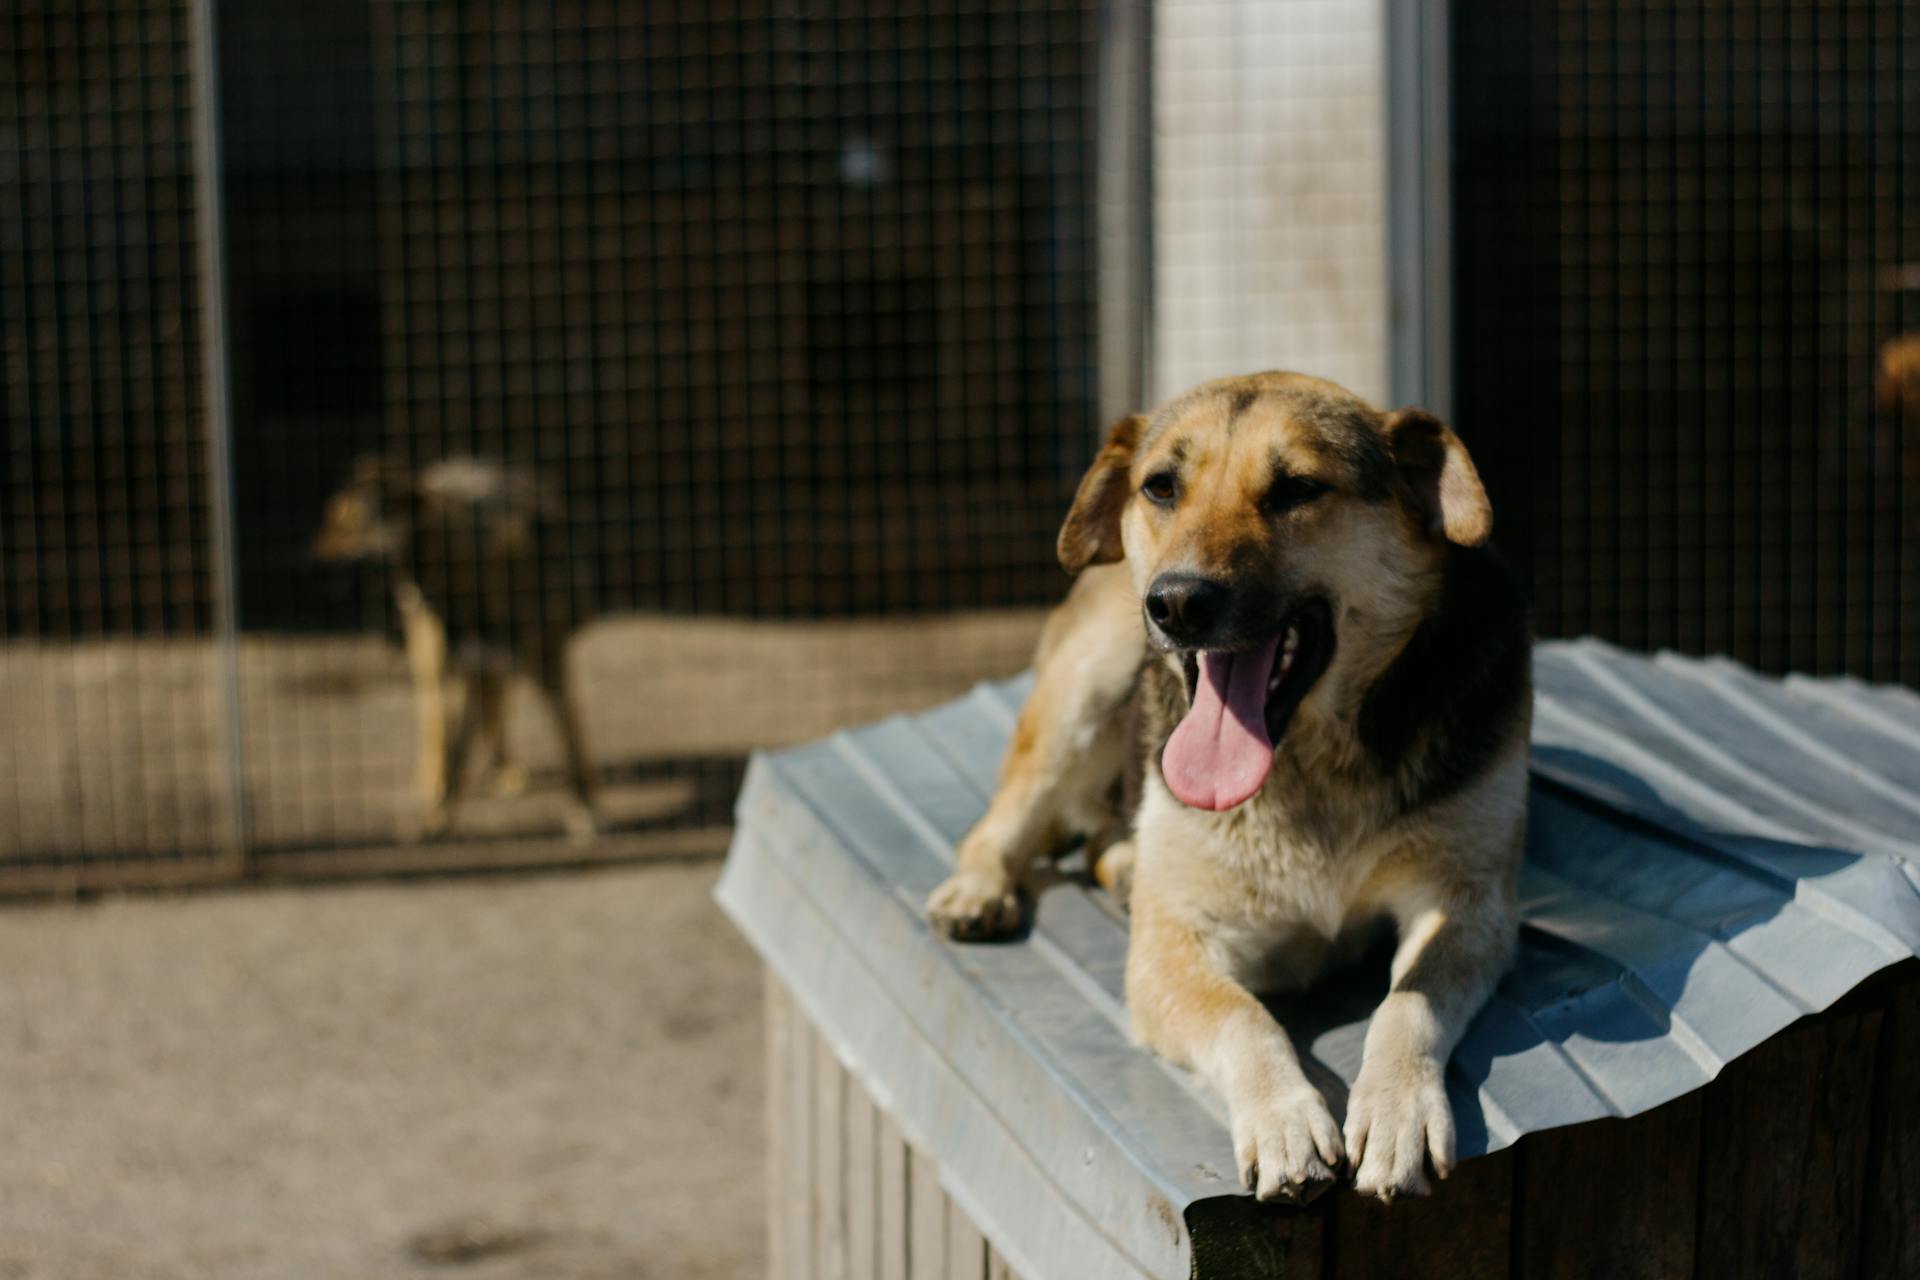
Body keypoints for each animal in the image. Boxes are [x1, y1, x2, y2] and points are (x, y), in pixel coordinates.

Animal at [311, 458, 595, 840]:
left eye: (354, 524)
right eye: (331, 520)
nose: (311, 563)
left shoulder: (549, 669)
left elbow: (571, 739)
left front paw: (584, 808)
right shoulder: (466, 667)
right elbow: (455, 751)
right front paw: (438, 817)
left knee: (494, 707)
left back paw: (503, 768)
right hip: (434, 661)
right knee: (435, 722)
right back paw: (432, 778)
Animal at [925, 370, 1528, 1205]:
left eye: (1298, 488)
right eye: (1161, 487)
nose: (1178, 603)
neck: (1311, 768)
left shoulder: (1467, 904)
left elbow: (1411, 1004)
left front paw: (1397, 1109)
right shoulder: (1167, 954)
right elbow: (1241, 1016)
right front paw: (1284, 1120)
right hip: (1092, 674)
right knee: (1002, 820)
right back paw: (979, 888)